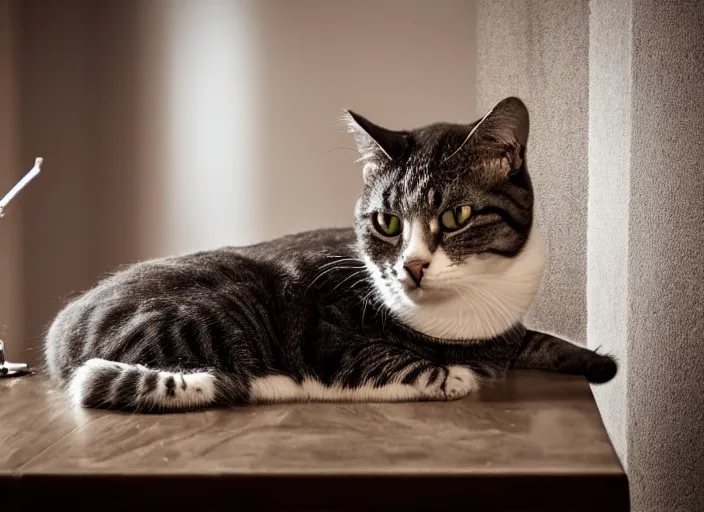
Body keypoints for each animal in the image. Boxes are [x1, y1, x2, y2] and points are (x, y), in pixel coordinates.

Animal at [42, 98, 616, 414]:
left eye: (457, 216)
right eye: (387, 222)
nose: (412, 267)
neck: (471, 314)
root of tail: (58, 336)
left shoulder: (507, 327)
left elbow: (534, 339)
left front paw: (599, 364)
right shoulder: (330, 329)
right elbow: (390, 363)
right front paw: (454, 375)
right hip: (214, 312)